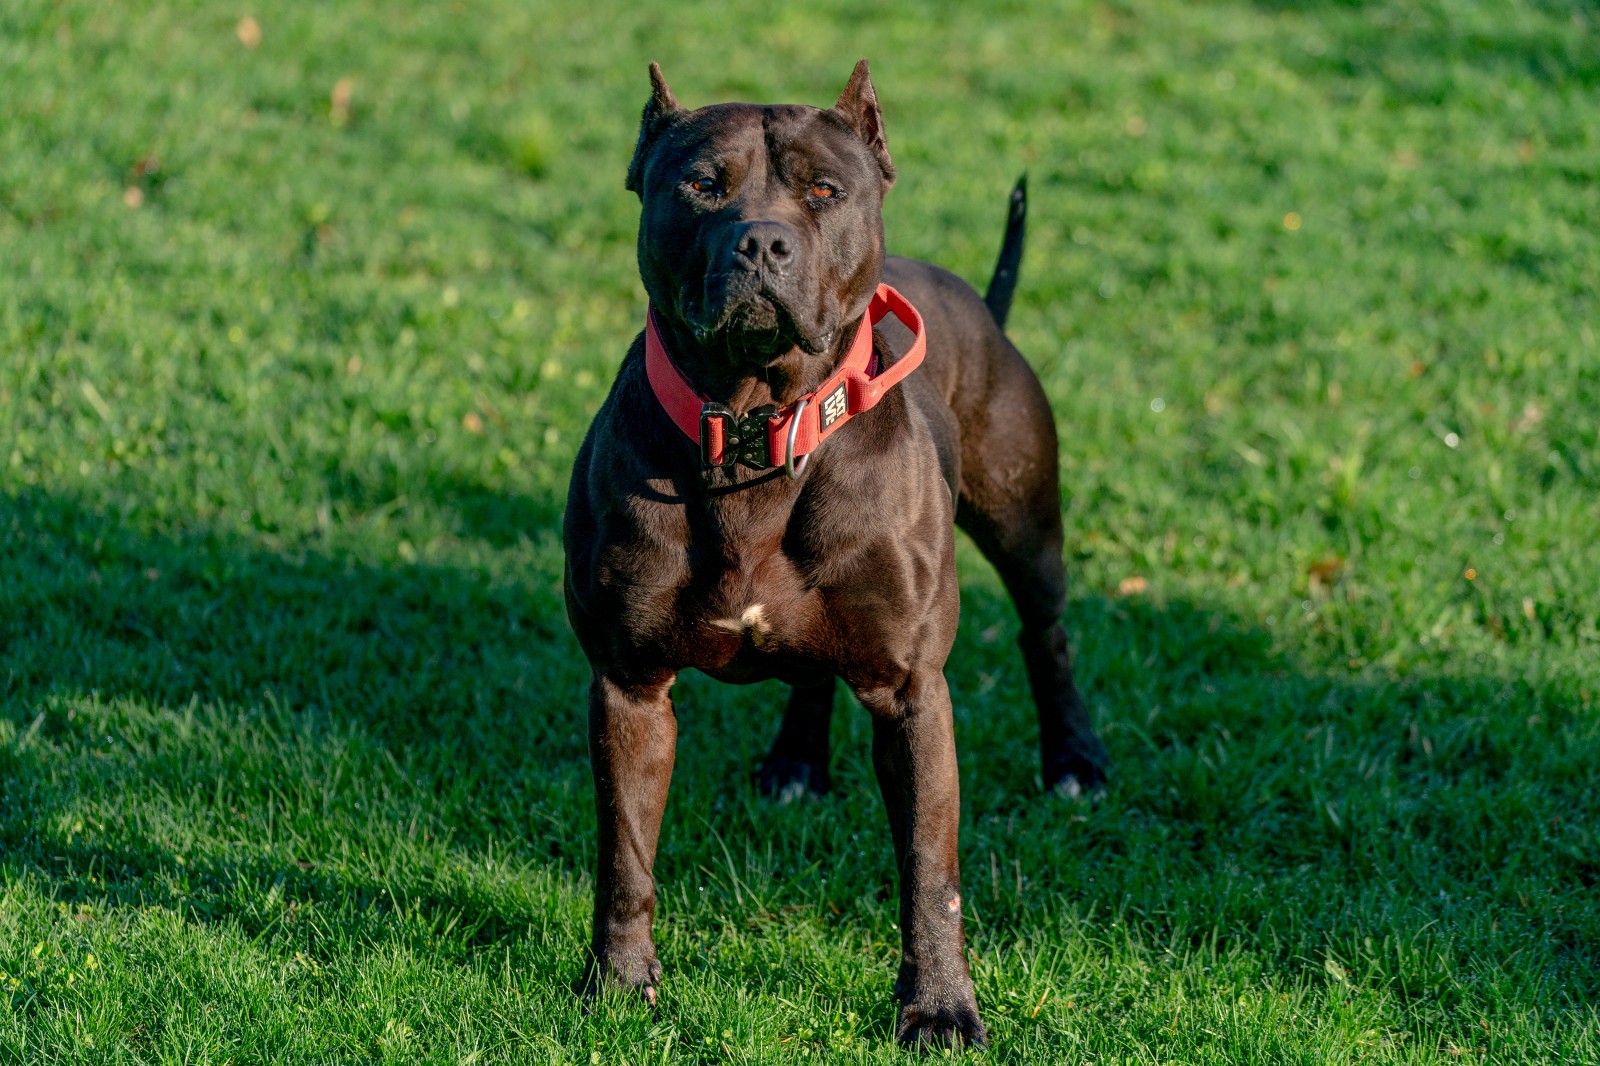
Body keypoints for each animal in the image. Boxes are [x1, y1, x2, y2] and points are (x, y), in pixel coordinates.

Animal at [566, 60, 1113, 1043]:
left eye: (825, 191)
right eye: (700, 185)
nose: (762, 244)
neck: (758, 427)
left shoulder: (911, 693)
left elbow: (931, 877)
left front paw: (940, 1009)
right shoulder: (628, 688)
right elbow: (625, 853)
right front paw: (621, 985)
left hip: (1027, 531)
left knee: (1044, 635)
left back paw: (1074, 761)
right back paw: (795, 763)